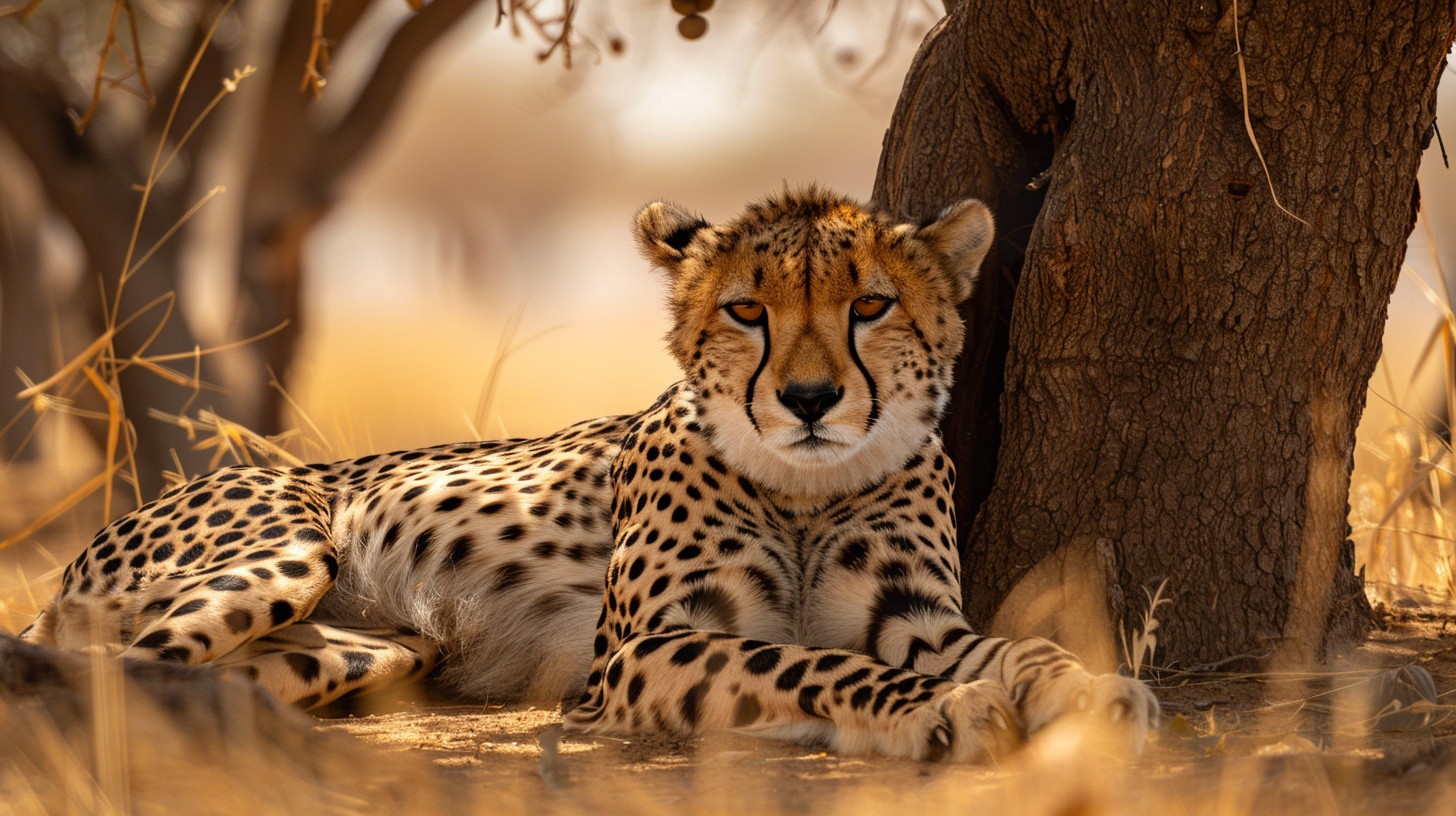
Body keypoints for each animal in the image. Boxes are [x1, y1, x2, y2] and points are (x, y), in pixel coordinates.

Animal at [20, 187, 1158, 762]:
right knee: (103, 669)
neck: (801, 488)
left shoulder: (915, 617)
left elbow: (1014, 645)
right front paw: (935, 713)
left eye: (869, 305)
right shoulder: (642, 650)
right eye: (747, 310)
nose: (807, 400)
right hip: (287, 556)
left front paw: (1090, 687)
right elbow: (805, 663)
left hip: (371, 649)